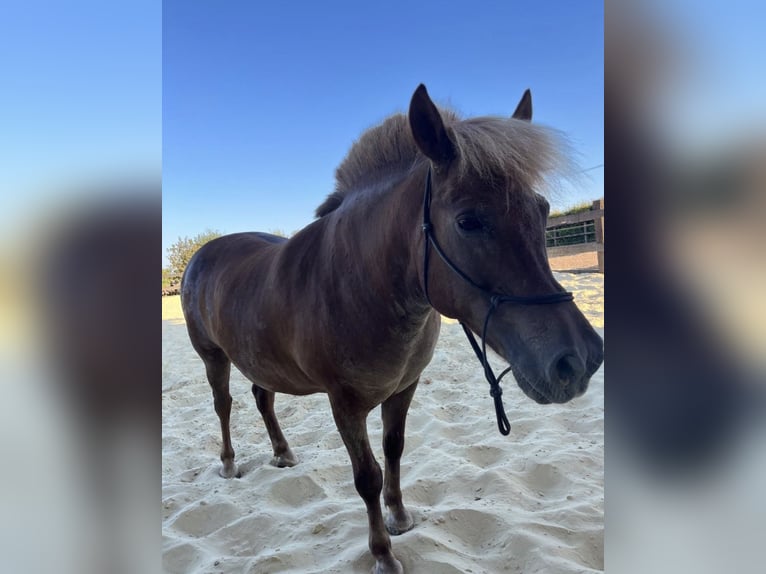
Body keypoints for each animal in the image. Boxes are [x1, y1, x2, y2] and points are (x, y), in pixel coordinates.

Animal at [181, 84, 604, 574]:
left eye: (542, 210)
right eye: (468, 220)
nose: (579, 359)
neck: (360, 283)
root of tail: (201, 255)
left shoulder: (404, 389)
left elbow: (395, 450)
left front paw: (399, 516)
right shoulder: (344, 404)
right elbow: (367, 476)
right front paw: (383, 552)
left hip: (259, 358)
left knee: (262, 398)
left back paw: (283, 453)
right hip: (213, 357)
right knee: (224, 405)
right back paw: (229, 464)